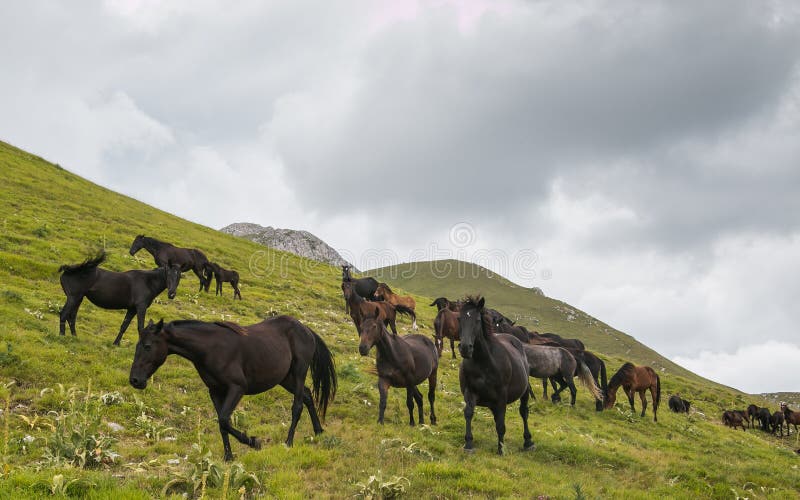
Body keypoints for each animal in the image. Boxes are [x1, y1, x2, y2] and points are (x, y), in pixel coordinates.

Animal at [130, 316, 336, 460]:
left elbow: (224, 420)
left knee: (298, 406)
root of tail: (306, 329)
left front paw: (253, 442)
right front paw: (228, 456)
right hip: (285, 378)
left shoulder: (237, 388)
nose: (135, 380)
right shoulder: (215, 391)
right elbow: (222, 424)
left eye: (147, 346)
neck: (210, 349)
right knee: (308, 396)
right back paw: (318, 431)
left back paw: (289, 442)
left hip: (299, 373)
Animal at [456, 298, 532, 456]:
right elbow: (468, 413)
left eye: (477, 320)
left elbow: (501, 424)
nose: (465, 348)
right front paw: (468, 444)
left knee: (524, 412)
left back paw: (528, 442)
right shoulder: (470, 392)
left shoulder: (501, 398)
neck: (483, 362)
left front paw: (501, 449)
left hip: (524, 391)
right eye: (459, 318)